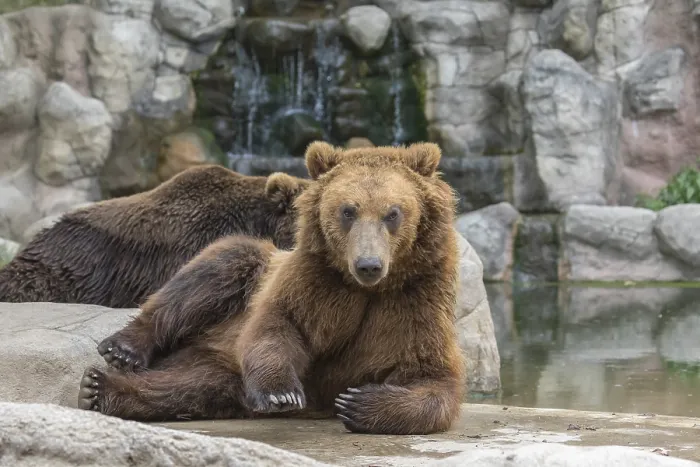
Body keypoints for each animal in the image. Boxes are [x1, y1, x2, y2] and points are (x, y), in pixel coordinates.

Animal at [78, 141, 465, 435]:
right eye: (348, 211)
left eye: (393, 213)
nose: (368, 264)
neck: (367, 291)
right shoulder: (314, 283)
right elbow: (277, 325)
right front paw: (282, 394)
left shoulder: (414, 303)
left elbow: (433, 379)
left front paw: (357, 401)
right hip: (241, 282)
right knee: (212, 274)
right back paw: (119, 355)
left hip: (218, 369)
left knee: (191, 386)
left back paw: (101, 389)